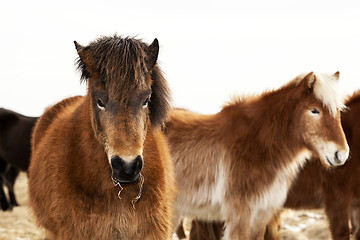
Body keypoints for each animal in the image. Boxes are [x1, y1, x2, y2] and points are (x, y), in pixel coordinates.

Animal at [167, 71, 350, 240]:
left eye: (338, 111)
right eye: (314, 110)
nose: (341, 154)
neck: (260, 144)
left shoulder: (262, 214)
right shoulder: (240, 215)